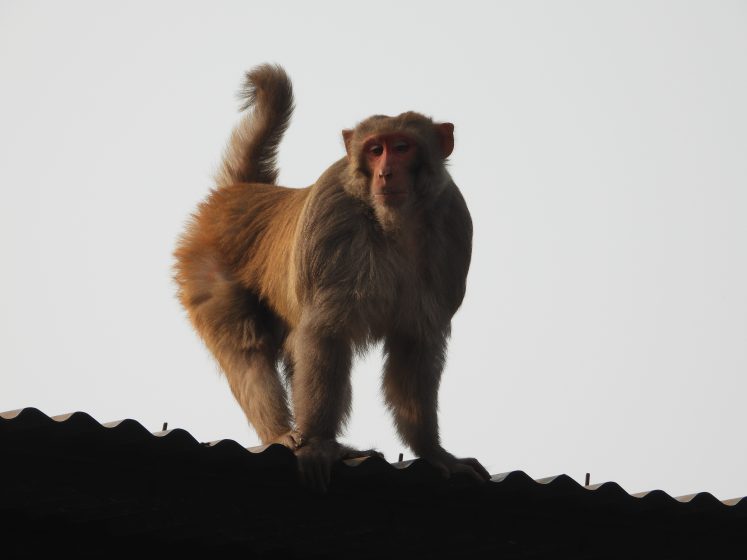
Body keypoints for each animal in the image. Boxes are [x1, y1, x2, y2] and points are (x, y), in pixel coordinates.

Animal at [174, 64, 490, 491]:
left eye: (401, 147)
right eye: (375, 150)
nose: (386, 172)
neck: (395, 222)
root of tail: (241, 192)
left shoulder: (454, 227)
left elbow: (416, 344)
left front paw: (434, 452)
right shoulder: (333, 218)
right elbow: (326, 331)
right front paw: (319, 445)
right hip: (204, 264)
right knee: (248, 346)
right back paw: (283, 435)